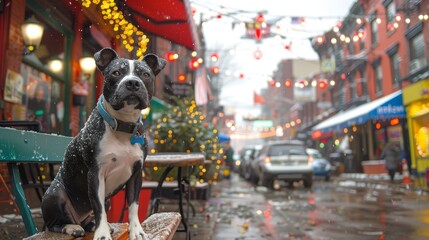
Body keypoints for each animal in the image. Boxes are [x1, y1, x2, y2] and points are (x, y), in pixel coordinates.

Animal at [41, 47, 166, 240]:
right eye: (116, 73)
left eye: (145, 74)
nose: (132, 83)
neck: (122, 124)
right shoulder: (95, 175)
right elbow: (98, 207)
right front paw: (102, 234)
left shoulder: (136, 175)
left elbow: (133, 206)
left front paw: (136, 231)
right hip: (55, 194)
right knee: (53, 223)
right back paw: (72, 227)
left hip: (106, 201)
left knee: (87, 219)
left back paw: (95, 225)